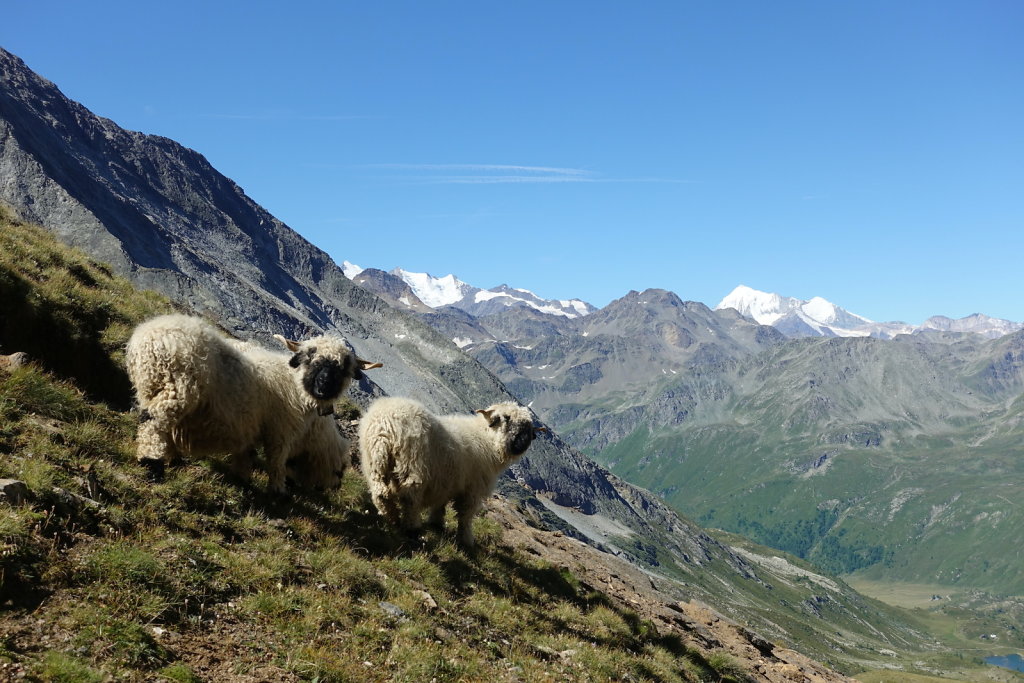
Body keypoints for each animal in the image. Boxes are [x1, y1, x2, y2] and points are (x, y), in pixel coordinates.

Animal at [124, 315, 380, 491]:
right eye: (310, 357)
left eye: (343, 367)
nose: (324, 385)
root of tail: (148, 337)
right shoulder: (280, 430)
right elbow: (276, 460)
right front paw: (277, 491)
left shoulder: (249, 426)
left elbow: (245, 454)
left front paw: (242, 479)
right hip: (176, 391)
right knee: (153, 423)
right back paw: (152, 464)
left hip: (150, 389)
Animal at [358, 397, 540, 548]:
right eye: (506, 418)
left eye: (529, 430)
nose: (523, 443)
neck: (487, 440)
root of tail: (385, 426)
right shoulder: (472, 490)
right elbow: (465, 516)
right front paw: (466, 540)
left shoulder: (447, 481)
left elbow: (440, 504)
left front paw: (436, 523)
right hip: (413, 466)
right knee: (409, 498)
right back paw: (411, 527)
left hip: (375, 463)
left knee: (381, 493)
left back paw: (391, 518)